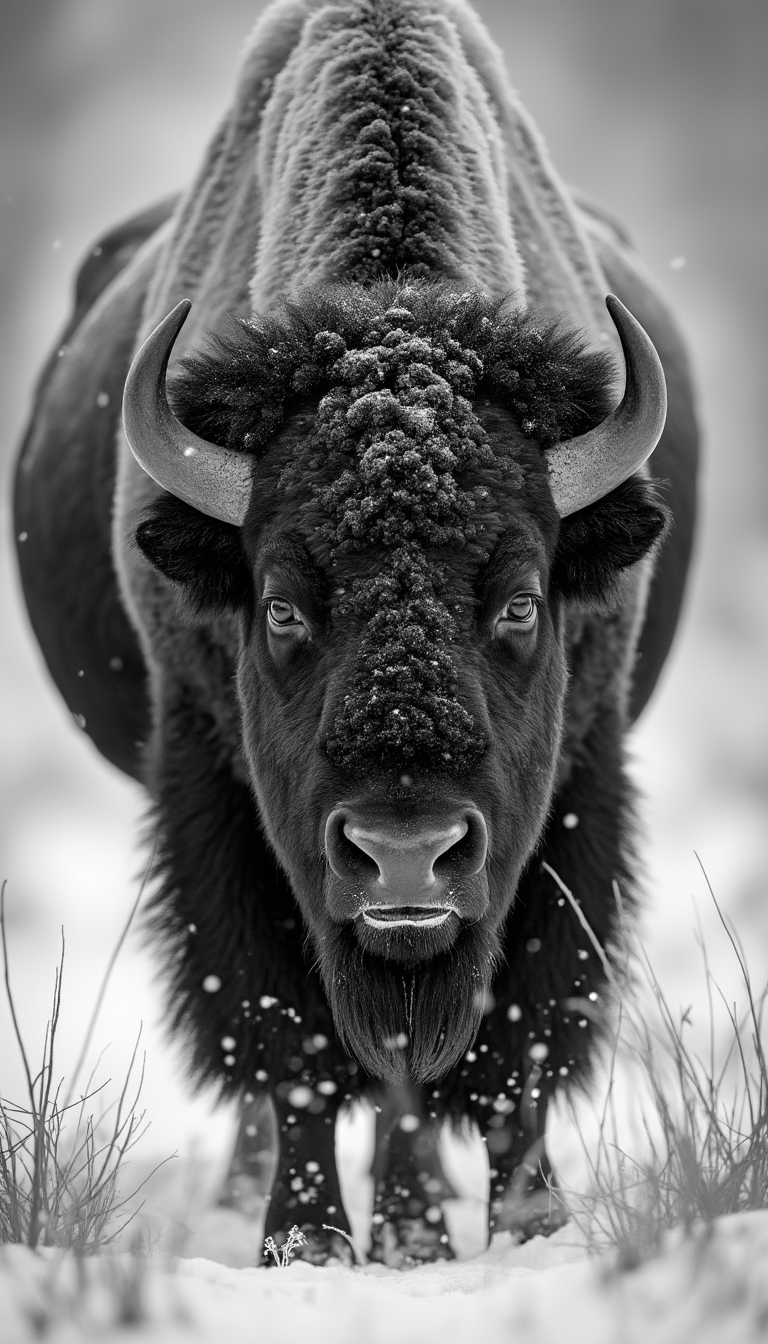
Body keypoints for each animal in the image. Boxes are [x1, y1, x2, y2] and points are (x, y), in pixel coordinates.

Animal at [14, 0, 698, 1265]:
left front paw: (529, 1223)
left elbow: (524, 1021)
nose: (406, 853)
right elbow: (284, 1038)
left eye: (523, 600)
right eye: (281, 604)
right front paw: (307, 1240)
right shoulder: (215, 795)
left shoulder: (579, 780)